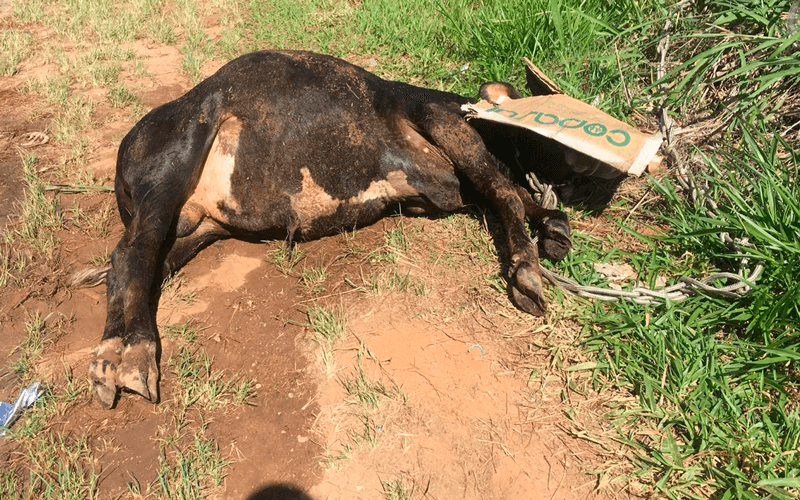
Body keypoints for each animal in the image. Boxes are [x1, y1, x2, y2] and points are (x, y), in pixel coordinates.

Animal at [89, 50, 572, 408]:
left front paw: (556, 229)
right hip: (177, 159)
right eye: (528, 130)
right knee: (134, 253)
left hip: (198, 226)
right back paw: (136, 357)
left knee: (130, 265)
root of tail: (128, 147)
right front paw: (527, 278)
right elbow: (506, 192)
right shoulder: (445, 122)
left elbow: (509, 194)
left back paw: (107, 362)